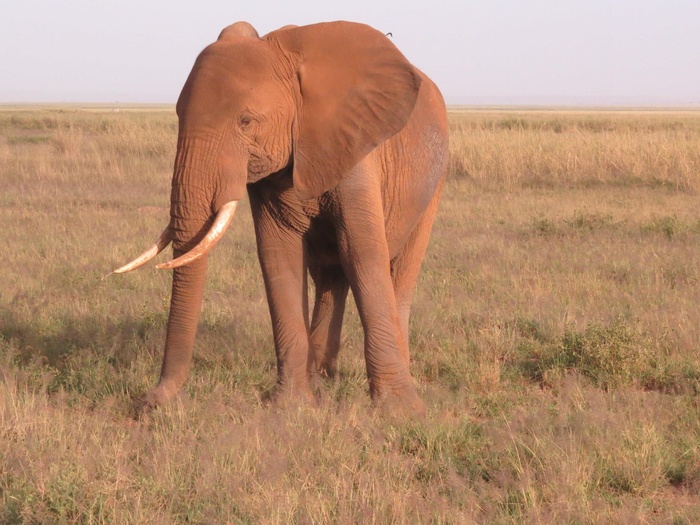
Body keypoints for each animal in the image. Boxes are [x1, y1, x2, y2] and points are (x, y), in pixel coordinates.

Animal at [112, 20, 446, 414]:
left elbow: (363, 254)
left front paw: (401, 411)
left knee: (399, 272)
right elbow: (278, 254)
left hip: (433, 183)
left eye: (246, 121)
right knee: (330, 275)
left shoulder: (357, 150)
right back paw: (322, 381)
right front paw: (293, 406)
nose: (149, 401)